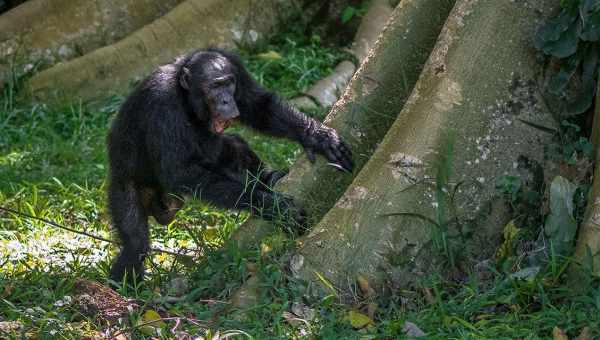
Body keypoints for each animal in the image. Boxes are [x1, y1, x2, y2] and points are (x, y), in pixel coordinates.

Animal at [106, 47, 354, 282]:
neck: (185, 96)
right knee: (135, 244)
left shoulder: (236, 67)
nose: (227, 100)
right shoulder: (162, 104)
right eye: (215, 86)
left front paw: (317, 136)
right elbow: (181, 171)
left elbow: (258, 105)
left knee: (234, 146)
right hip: (123, 187)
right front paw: (272, 207)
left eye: (229, 83)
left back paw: (267, 178)